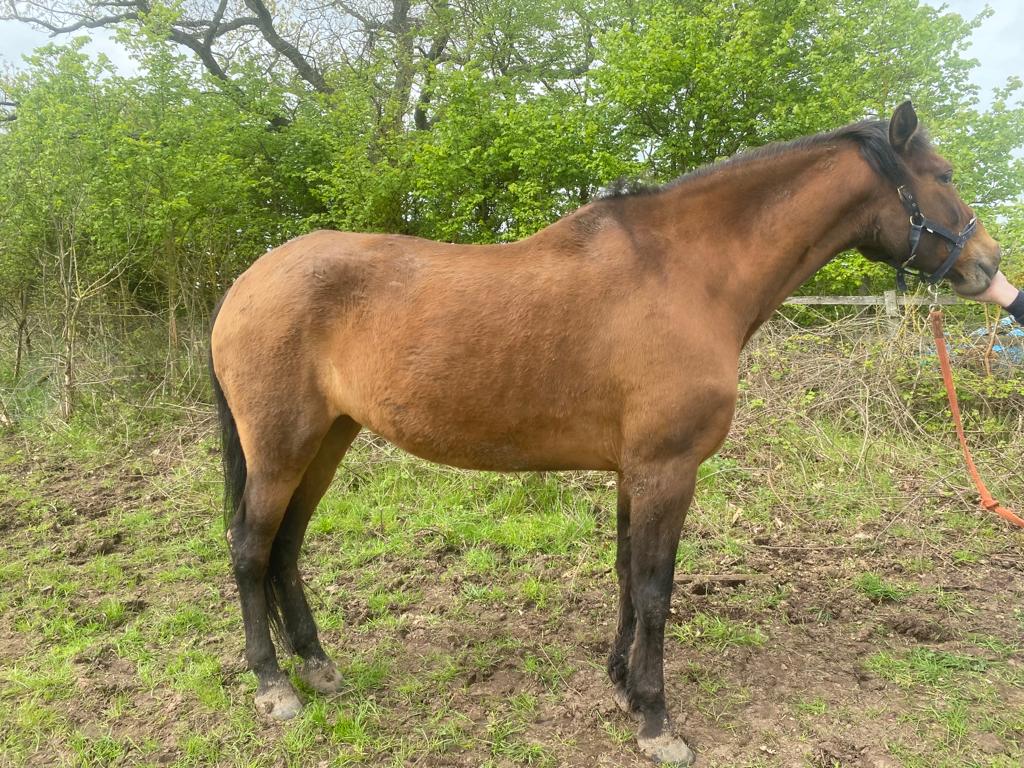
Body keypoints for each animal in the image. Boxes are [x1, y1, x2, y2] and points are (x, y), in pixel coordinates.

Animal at [209, 100, 999, 765]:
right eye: (944, 176)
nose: (987, 264)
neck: (685, 272)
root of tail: (247, 282)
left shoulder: (634, 470)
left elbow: (624, 573)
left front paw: (619, 682)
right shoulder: (666, 469)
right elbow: (655, 587)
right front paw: (656, 720)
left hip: (325, 440)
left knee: (285, 548)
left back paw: (317, 666)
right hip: (280, 448)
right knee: (250, 547)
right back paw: (274, 686)